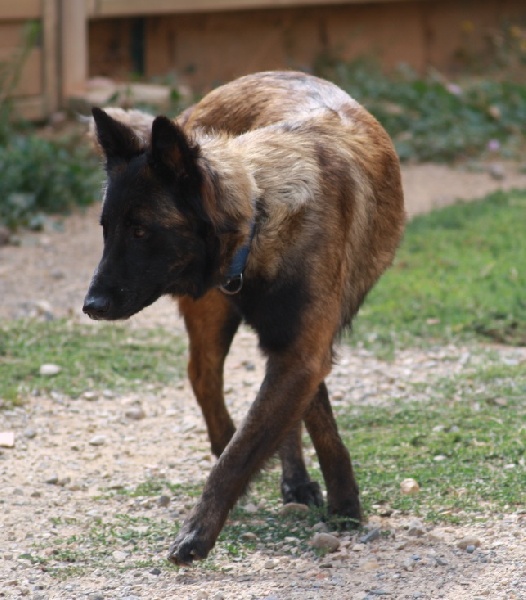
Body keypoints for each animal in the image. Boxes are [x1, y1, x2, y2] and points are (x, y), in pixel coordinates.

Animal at [83, 70, 404, 564]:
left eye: (140, 231)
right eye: (106, 229)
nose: (91, 305)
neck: (261, 211)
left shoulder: (302, 349)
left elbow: (287, 432)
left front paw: (344, 504)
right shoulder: (297, 350)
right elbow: (251, 443)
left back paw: (295, 480)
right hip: (211, 313)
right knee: (203, 376)